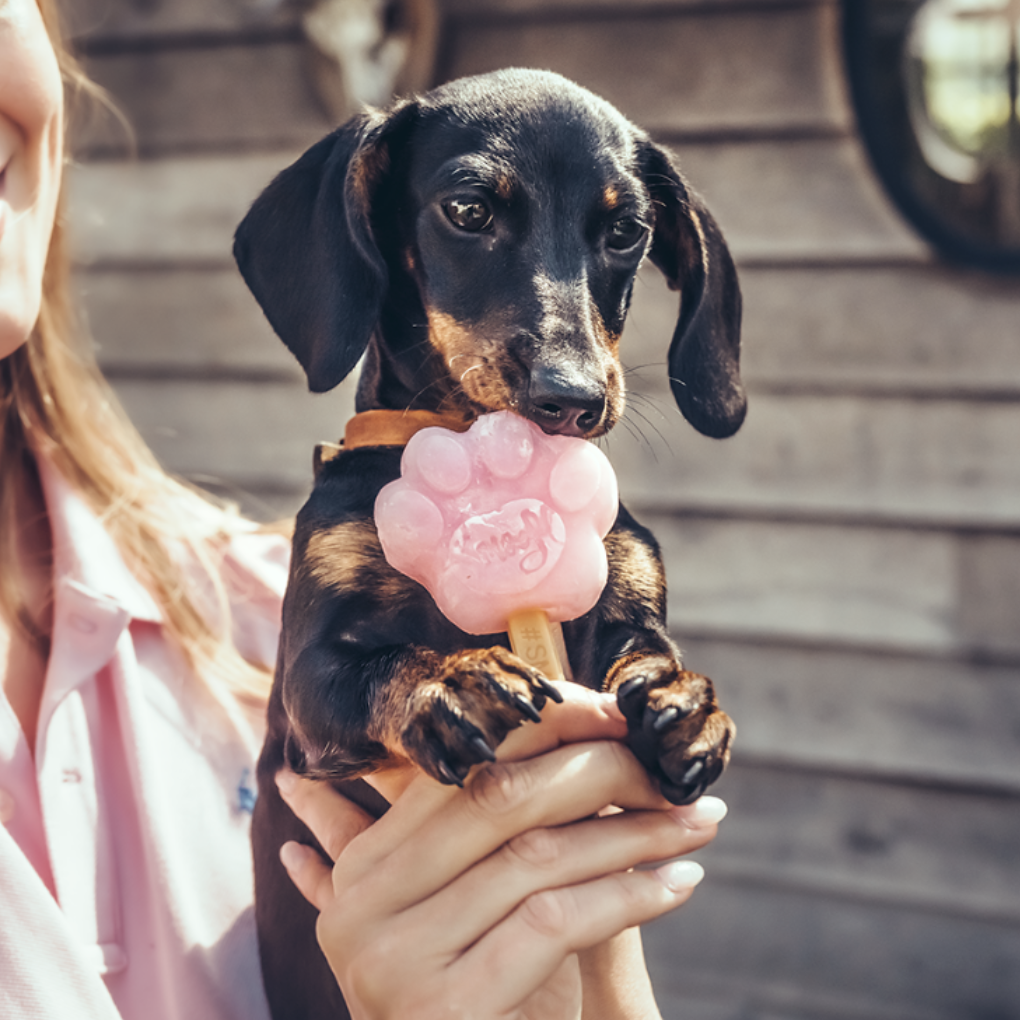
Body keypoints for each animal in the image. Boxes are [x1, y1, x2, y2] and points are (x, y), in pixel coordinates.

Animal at [236, 69, 750, 1020]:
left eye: (626, 232)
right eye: (469, 210)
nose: (573, 401)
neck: (461, 438)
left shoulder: (623, 597)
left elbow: (644, 648)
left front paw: (687, 703)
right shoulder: (305, 688)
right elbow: (379, 667)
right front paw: (454, 680)